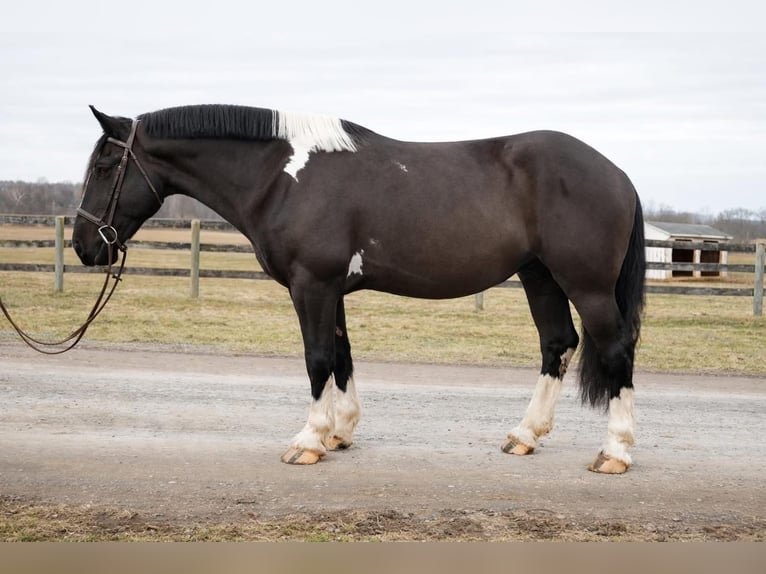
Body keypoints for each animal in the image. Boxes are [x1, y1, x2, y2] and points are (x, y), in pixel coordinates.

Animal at [72, 104, 645, 474]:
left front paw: (308, 442)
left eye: (104, 165)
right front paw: (340, 432)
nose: (84, 245)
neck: (283, 177)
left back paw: (614, 452)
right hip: (539, 276)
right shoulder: (331, 290)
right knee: (557, 345)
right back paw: (523, 436)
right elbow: (342, 356)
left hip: (586, 285)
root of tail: (618, 173)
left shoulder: (312, 286)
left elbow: (317, 359)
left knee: (615, 350)